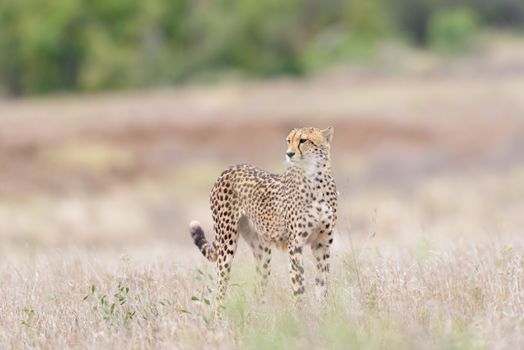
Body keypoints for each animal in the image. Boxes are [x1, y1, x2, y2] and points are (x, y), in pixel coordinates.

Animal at [190, 126, 338, 306]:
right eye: (288, 140)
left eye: (303, 140)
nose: (289, 154)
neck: (315, 180)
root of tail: (231, 167)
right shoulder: (295, 245)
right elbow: (299, 288)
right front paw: (302, 312)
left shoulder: (322, 244)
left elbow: (322, 285)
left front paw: (323, 311)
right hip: (227, 243)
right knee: (219, 289)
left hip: (262, 250)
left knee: (258, 286)